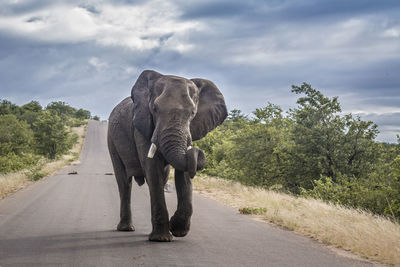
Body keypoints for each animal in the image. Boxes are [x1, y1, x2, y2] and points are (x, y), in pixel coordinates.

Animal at [108, 70, 227, 242]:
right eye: (155, 109)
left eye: (192, 113)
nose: (198, 151)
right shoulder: (142, 126)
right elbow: (152, 169)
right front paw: (161, 238)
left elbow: (182, 175)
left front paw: (177, 230)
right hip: (111, 139)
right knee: (124, 182)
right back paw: (126, 228)